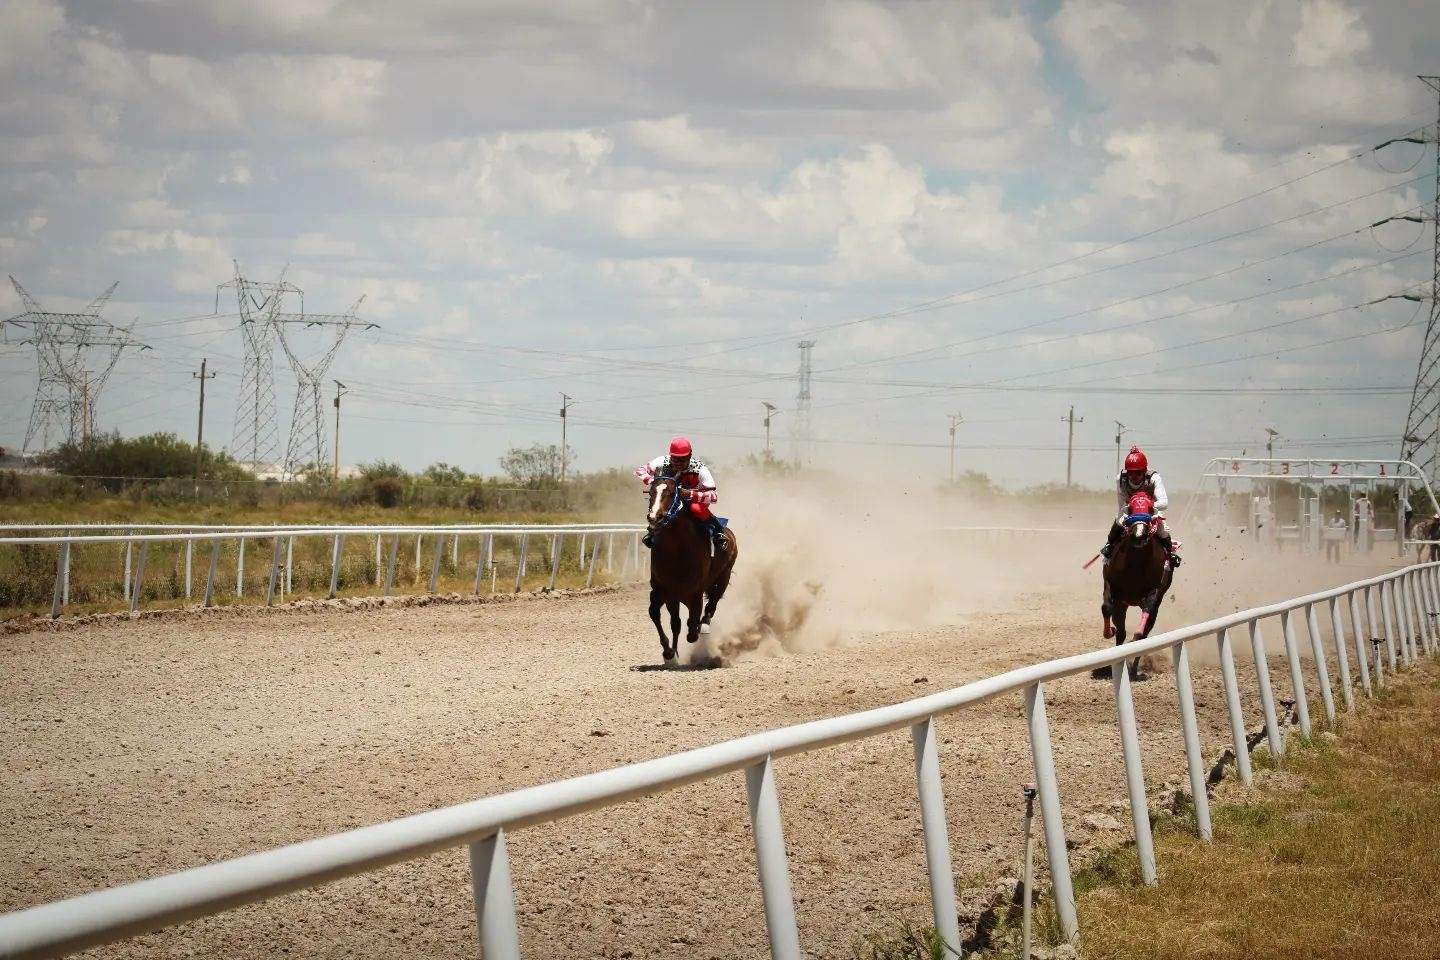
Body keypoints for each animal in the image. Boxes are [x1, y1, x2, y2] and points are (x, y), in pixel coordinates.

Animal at [645, 472, 737, 662]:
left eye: (671, 492)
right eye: (650, 492)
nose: (654, 518)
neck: (677, 550)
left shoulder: (694, 593)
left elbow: (691, 625)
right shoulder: (664, 590)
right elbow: (664, 618)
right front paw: (669, 652)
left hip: (724, 576)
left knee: (712, 604)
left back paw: (705, 625)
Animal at [1100, 500, 1169, 679]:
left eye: (1150, 509)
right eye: (1130, 508)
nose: (1139, 535)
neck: (1135, 564)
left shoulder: (1153, 592)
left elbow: (1142, 629)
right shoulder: (1111, 586)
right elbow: (1106, 608)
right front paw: (1109, 631)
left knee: (1144, 633)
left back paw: (1133, 668)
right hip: (1122, 603)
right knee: (1121, 632)